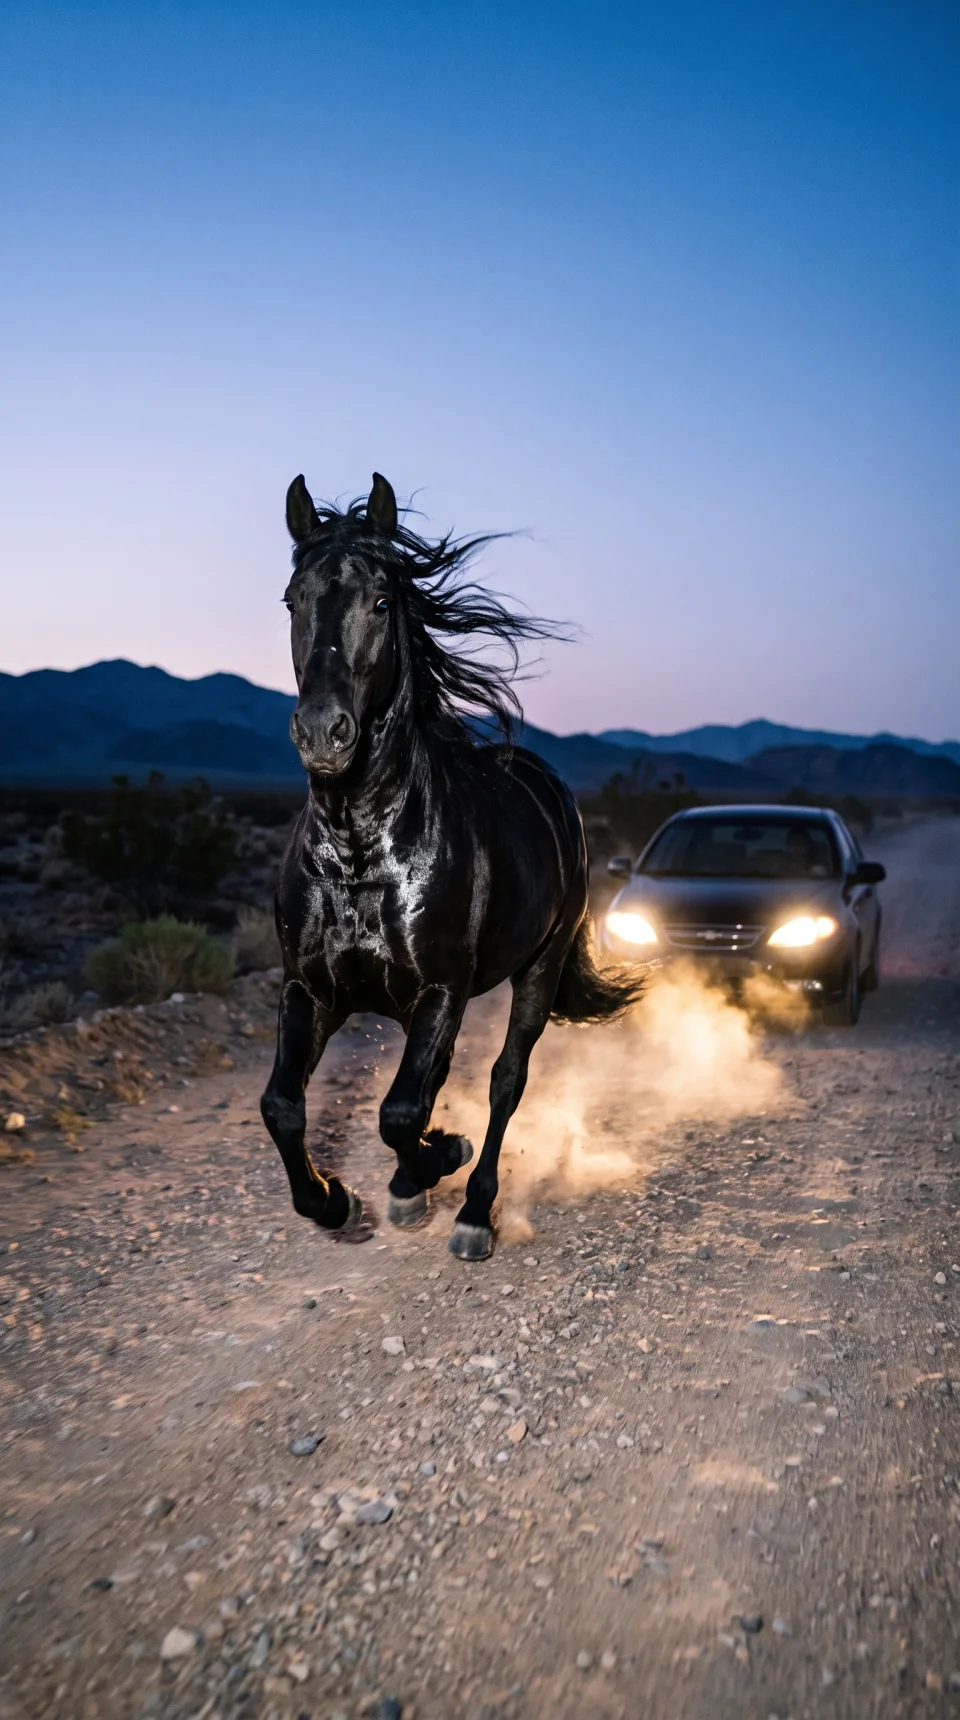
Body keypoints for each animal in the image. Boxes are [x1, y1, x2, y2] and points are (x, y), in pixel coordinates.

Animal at [260, 472, 641, 1260]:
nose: (322, 733)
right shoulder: (311, 990)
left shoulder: (441, 991)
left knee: (505, 1081)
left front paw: (428, 1171)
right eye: (292, 599)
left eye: (382, 601)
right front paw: (333, 1199)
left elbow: (402, 1112)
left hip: (538, 969)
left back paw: (471, 1210)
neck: (360, 859)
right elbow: (283, 1105)